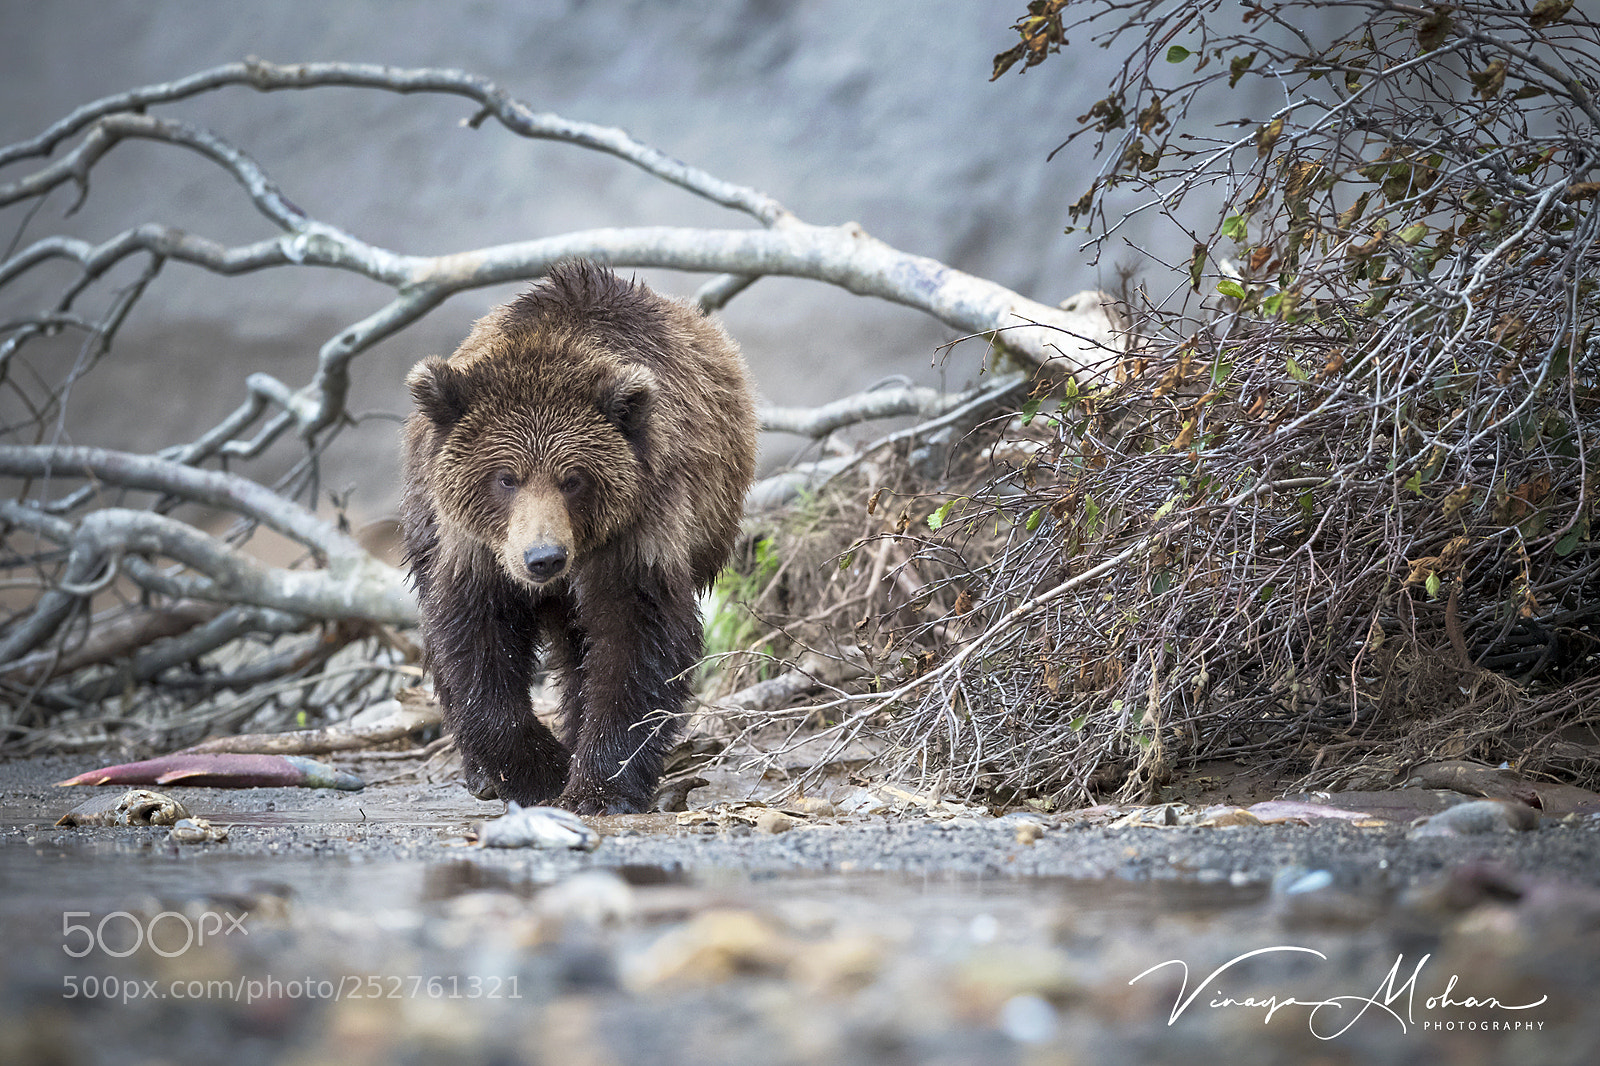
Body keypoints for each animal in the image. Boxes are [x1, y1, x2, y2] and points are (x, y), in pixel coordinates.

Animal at [400, 260, 757, 815]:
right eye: (506, 477)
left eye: (573, 478)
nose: (544, 558)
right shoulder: (476, 545)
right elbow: (473, 633)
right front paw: (537, 771)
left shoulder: (642, 521)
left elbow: (634, 637)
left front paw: (598, 787)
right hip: (424, 518)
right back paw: (485, 773)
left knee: (579, 649)